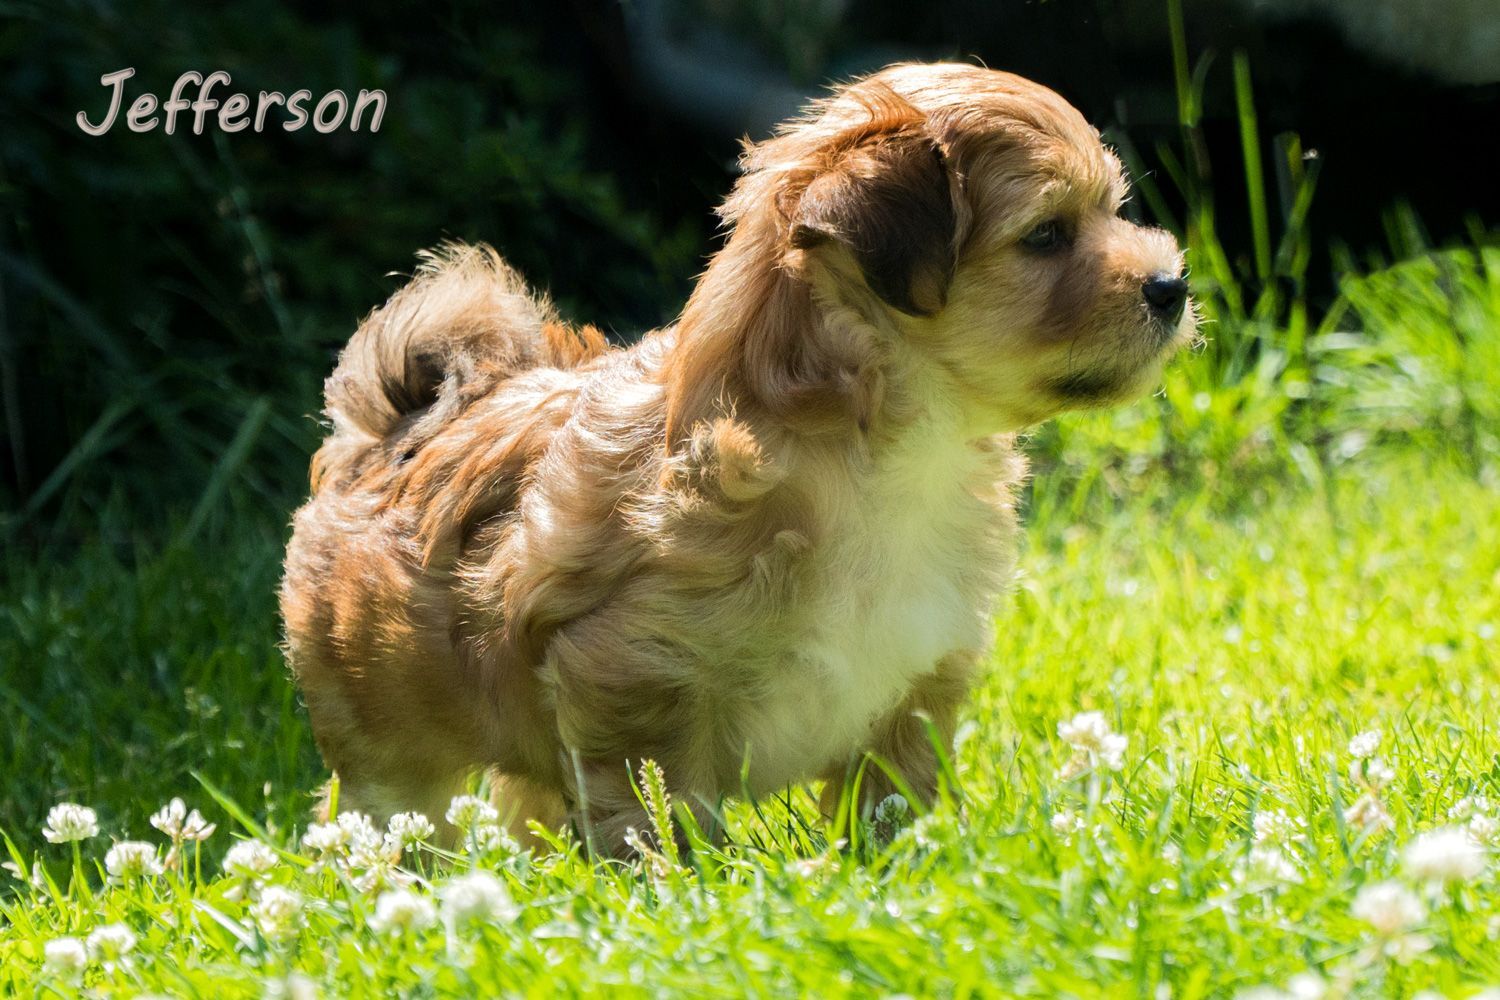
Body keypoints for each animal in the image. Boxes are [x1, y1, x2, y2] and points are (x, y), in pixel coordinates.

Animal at [280, 62, 1195, 855]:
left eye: (1113, 210)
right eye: (1046, 236)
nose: (1172, 286)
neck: (872, 456)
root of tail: (390, 429)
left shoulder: (911, 686)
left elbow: (893, 807)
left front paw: (908, 881)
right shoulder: (635, 676)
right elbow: (659, 816)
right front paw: (681, 902)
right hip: (385, 735)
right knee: (393, 816)